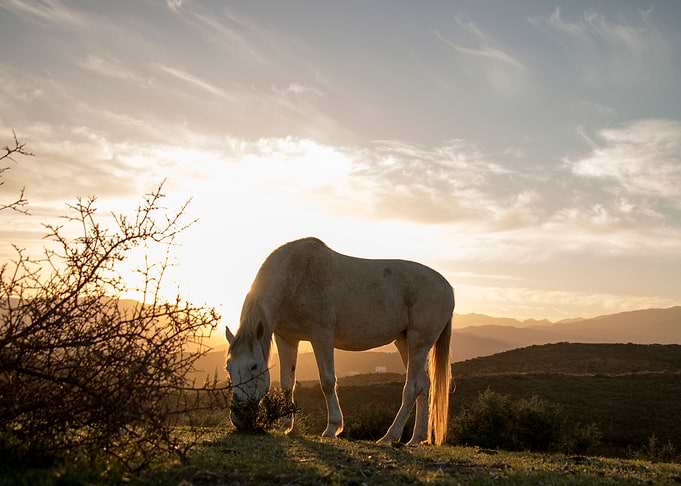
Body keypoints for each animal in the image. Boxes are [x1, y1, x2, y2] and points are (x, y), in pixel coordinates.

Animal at [224, 237, 454, 445]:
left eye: (254, 367)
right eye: (228, 367)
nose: (240, 419)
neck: (297, 277)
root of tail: (447, 287)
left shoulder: (321, 336)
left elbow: (327, 381)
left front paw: (332, 427)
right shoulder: (287, 338)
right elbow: (287, 382)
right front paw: (285, 425)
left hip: (418, 343)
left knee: (412, 388)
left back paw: (390, 436)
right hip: (404, 342)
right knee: (424, 385)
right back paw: (416, 438)